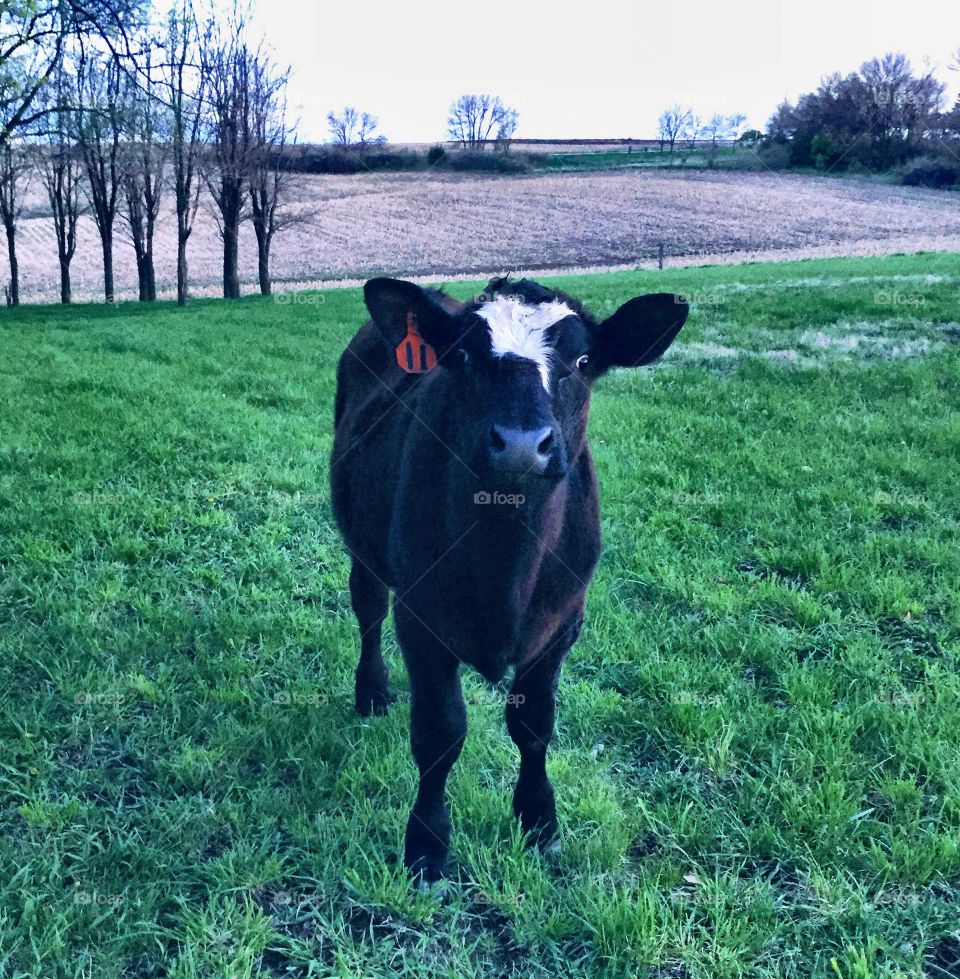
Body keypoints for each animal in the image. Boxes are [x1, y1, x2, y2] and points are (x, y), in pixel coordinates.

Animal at [331, 275, 688, 883]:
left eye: (582, 361)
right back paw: (372, 689)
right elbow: (440, 732)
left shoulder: (564, 623)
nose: (522, 445)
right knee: (368, 608)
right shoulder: (421, 619)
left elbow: (534, 724)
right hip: (365, 547)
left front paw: (539, 820)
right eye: (463, 356)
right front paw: (427, 844)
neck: (507, 572)